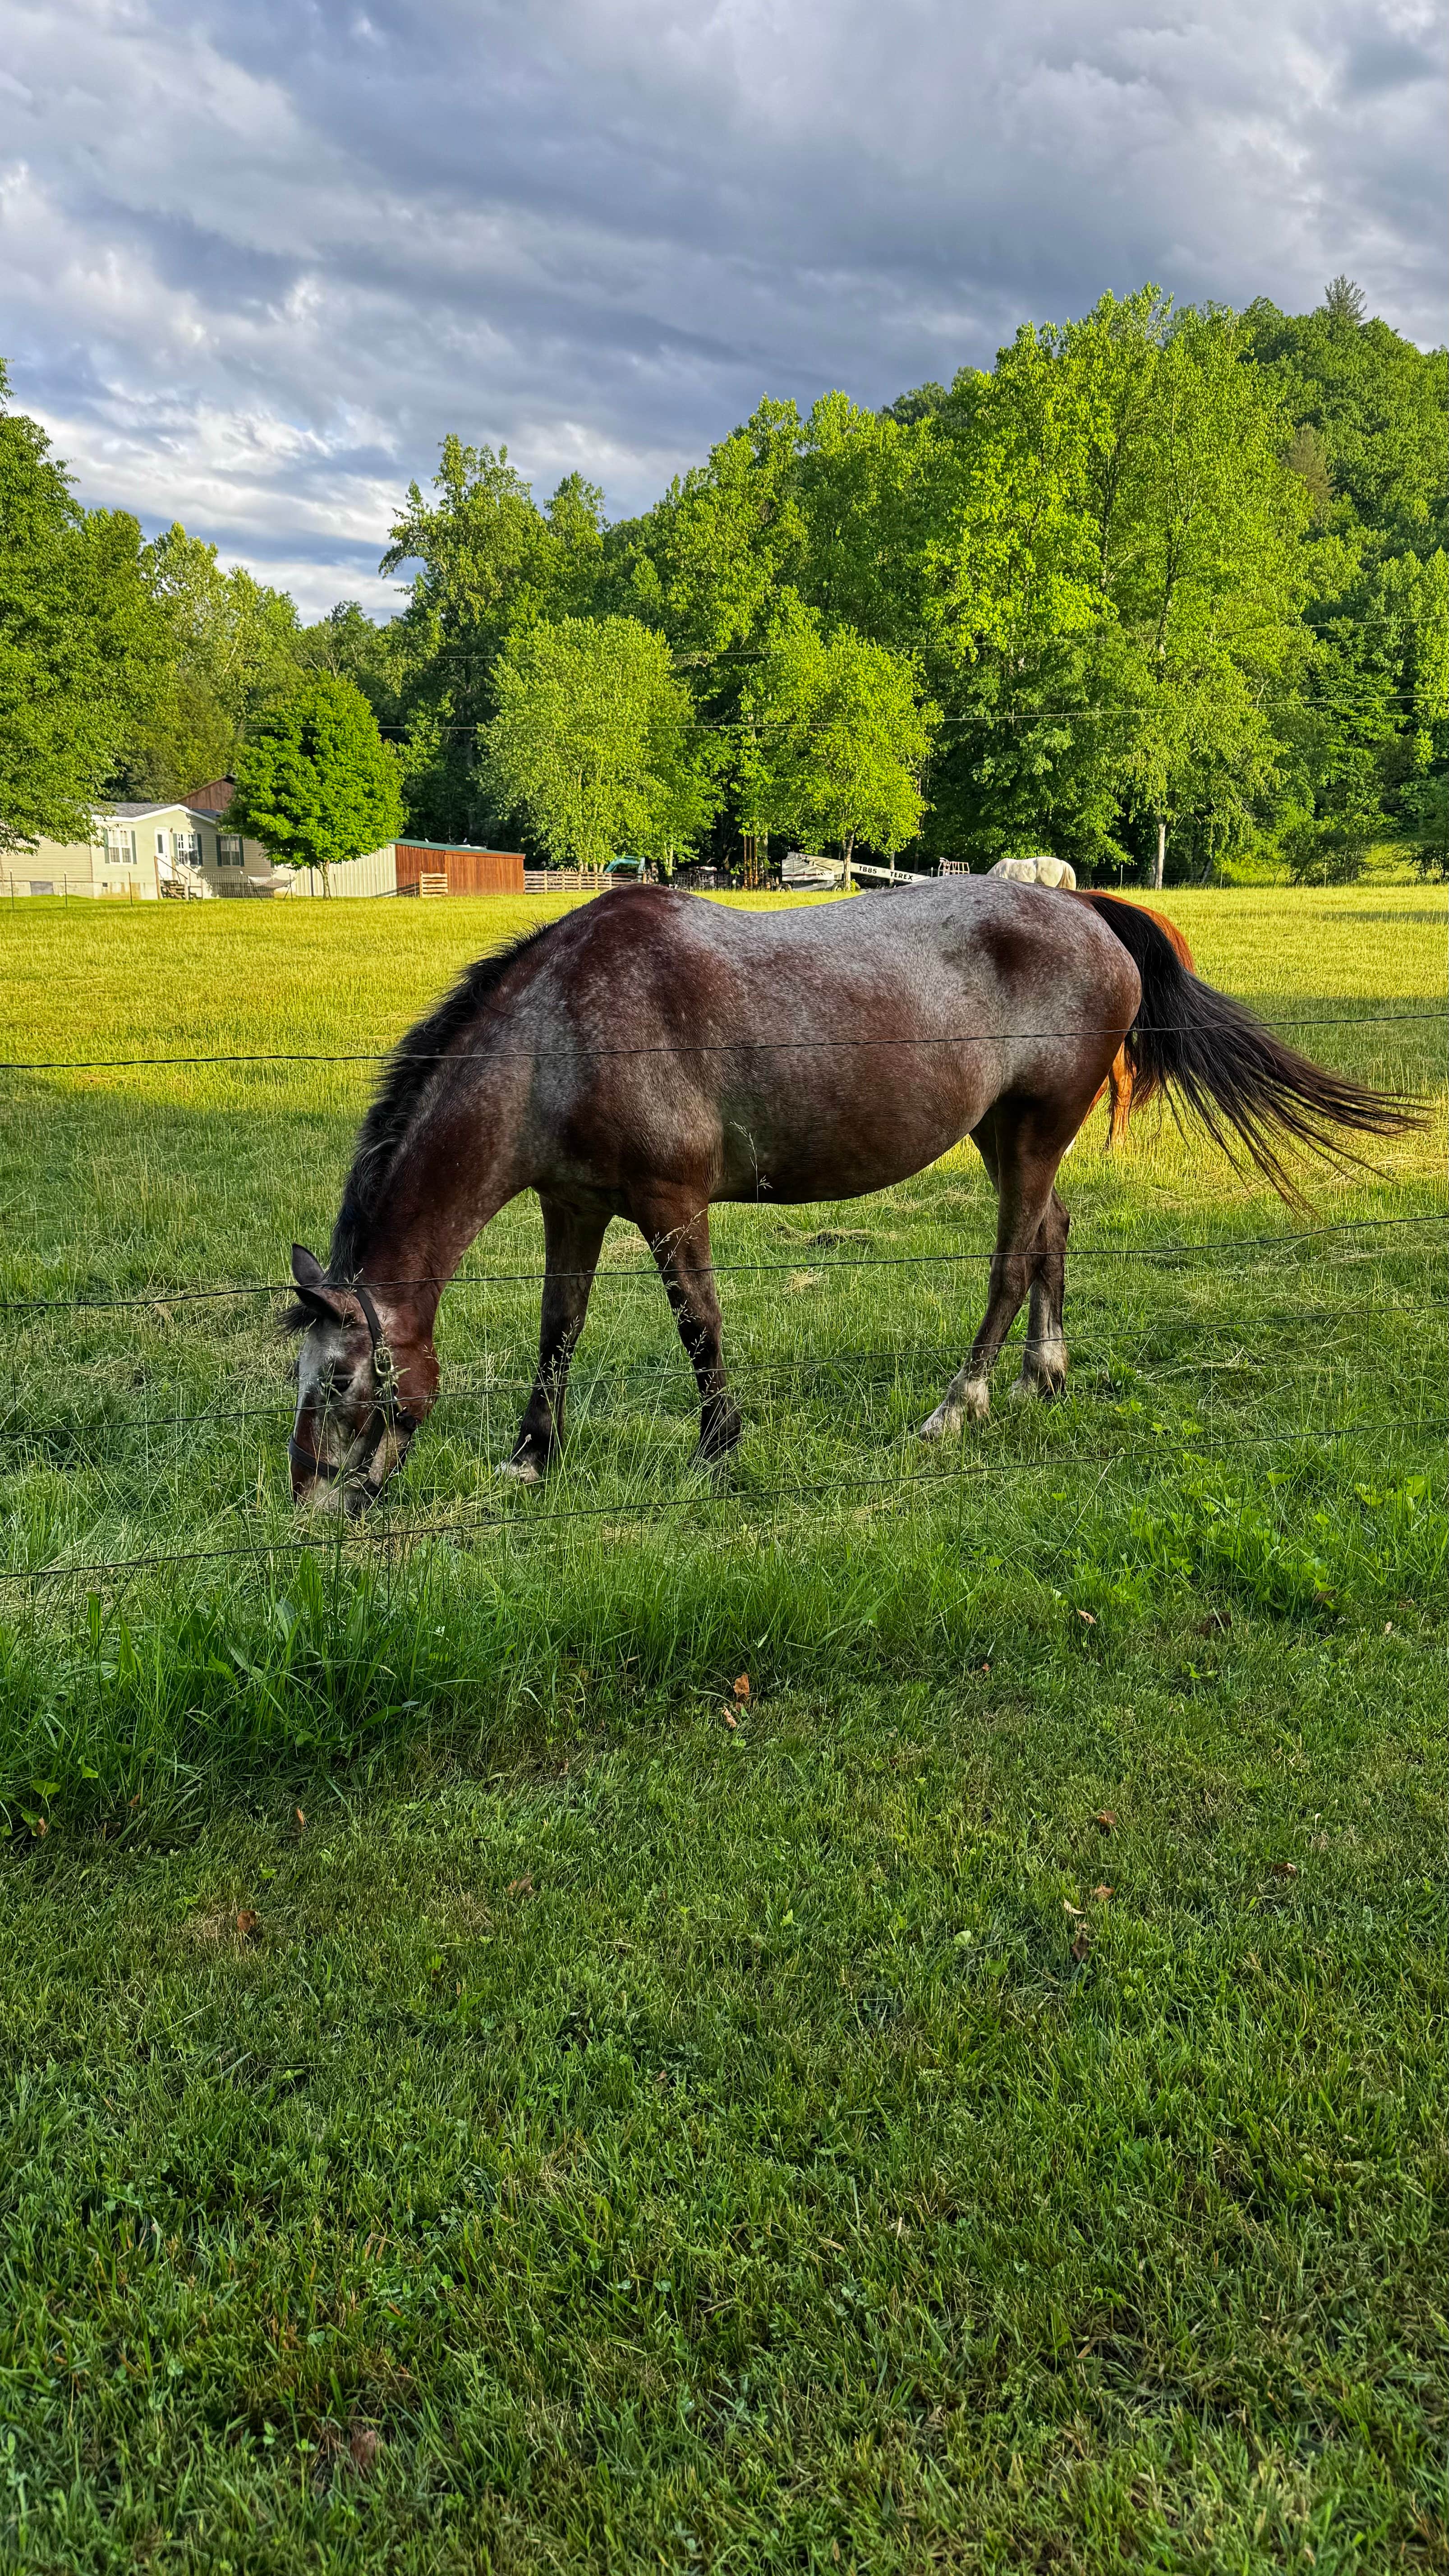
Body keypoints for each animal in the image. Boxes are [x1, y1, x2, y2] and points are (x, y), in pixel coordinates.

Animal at [285, 891, 1412, 1504]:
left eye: (341, 1381)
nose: (313, 1503)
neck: (563, 1034)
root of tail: (1086, 909)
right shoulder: (576, 1207)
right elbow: (558, 1328)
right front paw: (529, 1461)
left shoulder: (670, 1205)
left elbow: (698, 1324)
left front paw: (717, 1453)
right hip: (1007, 1136)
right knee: (1052, 1233)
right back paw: (1043, 1376)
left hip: (1033, 1131)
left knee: (1012, 1261)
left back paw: (956, 1409)